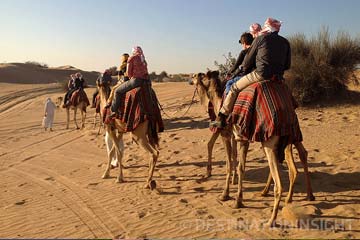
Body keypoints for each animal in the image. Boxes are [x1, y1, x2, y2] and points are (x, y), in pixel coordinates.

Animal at [193, 71, 314, 227]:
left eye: (198, 76)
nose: (191, 79)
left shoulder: (226, 133)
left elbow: (229, 163)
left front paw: (226, 194)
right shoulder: (241, 138)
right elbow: (239, 165)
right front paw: (238, 198)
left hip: (271, 140)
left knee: (281, 178)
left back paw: (272, 218)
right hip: (289, 134)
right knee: (301, 154)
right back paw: (303, 195)